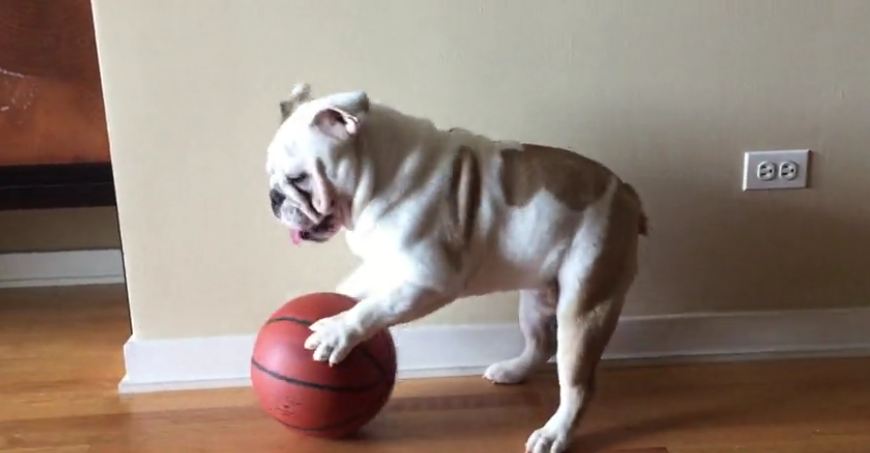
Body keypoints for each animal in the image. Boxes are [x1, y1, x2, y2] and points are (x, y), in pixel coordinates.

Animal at [266, 83, 648, 450]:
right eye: (270, 176)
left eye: (299, 178)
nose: (275, 198)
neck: (377, 175)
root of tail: (626, 192)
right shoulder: (383, 265)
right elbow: (353, 291)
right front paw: (332, 305)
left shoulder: (429, 281)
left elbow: (374, 308)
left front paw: (338, 332)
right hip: (536, 298)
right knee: (541, 343)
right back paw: (513, 371)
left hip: (584, 304)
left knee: (577, 384)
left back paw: (554, 433)